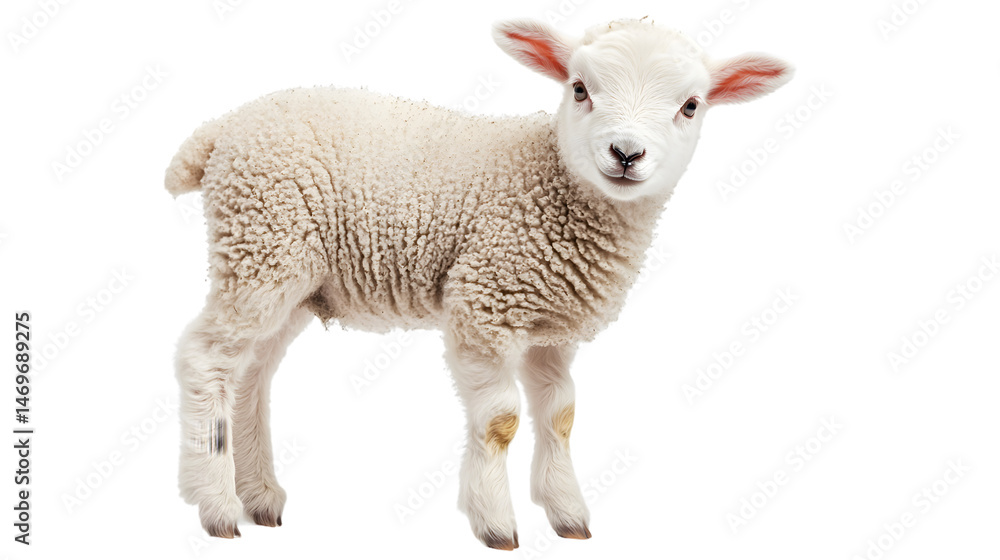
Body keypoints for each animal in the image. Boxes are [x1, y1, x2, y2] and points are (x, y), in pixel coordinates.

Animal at [166, 17, 792, 549]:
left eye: (691, 105)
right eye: (580, 89)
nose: (625, 153)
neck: (551, 182)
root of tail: (220, 130)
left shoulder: (551, 327)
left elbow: (561, 413)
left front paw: (567, 513)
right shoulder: (483, 300)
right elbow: (501, 421)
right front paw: (495, 522)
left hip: (290, 276)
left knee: (251, 372)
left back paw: (259, 497)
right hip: (262, 242)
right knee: (205, 358)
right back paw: (217, 506)